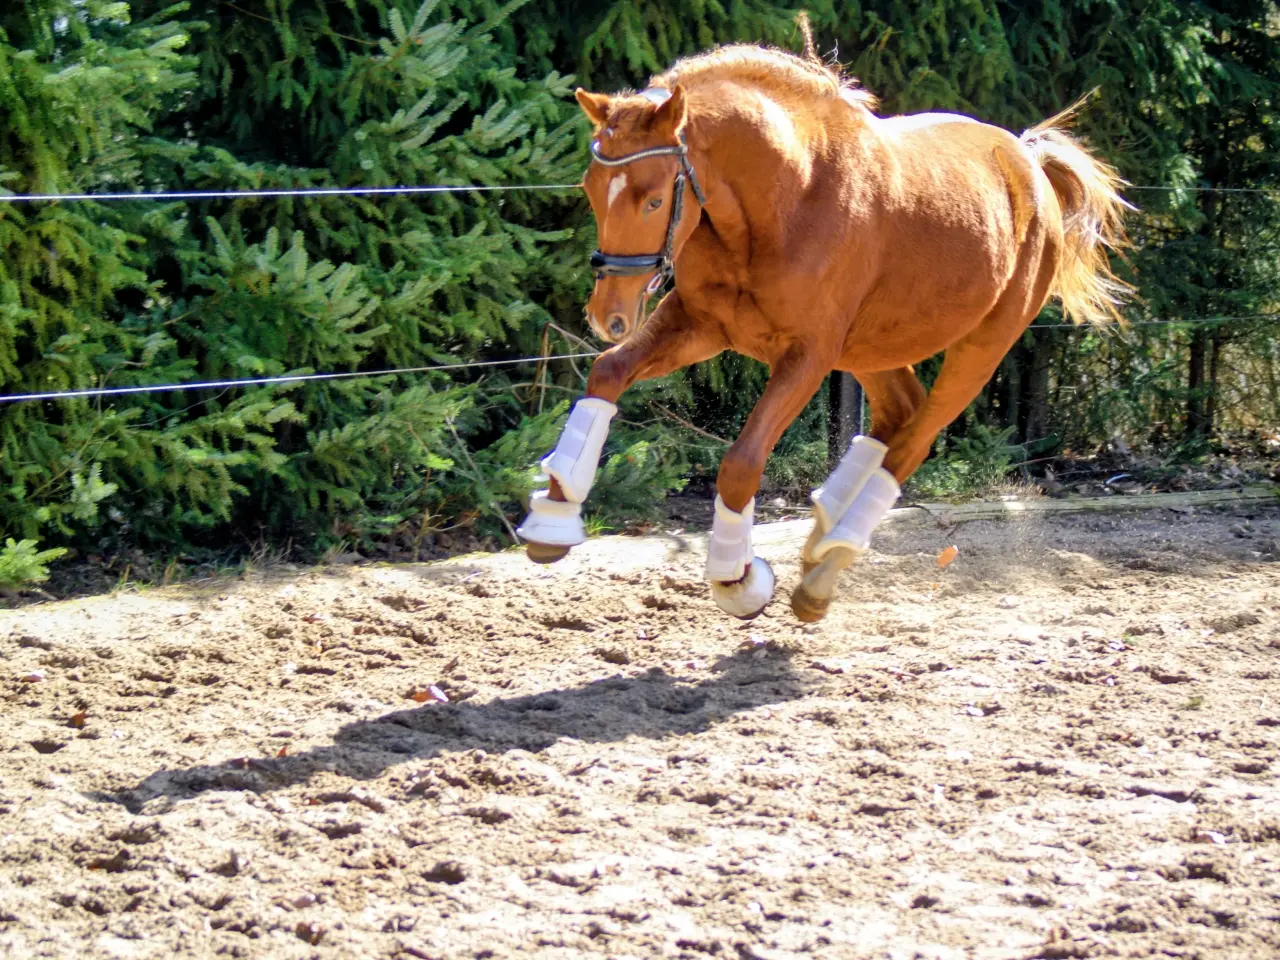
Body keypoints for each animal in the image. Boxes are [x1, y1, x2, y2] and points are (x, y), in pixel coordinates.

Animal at [516, 41, 1131, 623]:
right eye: (591, 187)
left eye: (653, 197)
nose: (608, 316)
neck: (784, 200)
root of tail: (1031, 166)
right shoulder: (700, 323)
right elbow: (608, 372)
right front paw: (552, 520)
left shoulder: (807, 356)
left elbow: (741, 464)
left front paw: (738, 580)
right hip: (873, 347)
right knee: (899, 412)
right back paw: (823, 532)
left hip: (980, 348)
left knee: (913, 440)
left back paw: (827, 565)